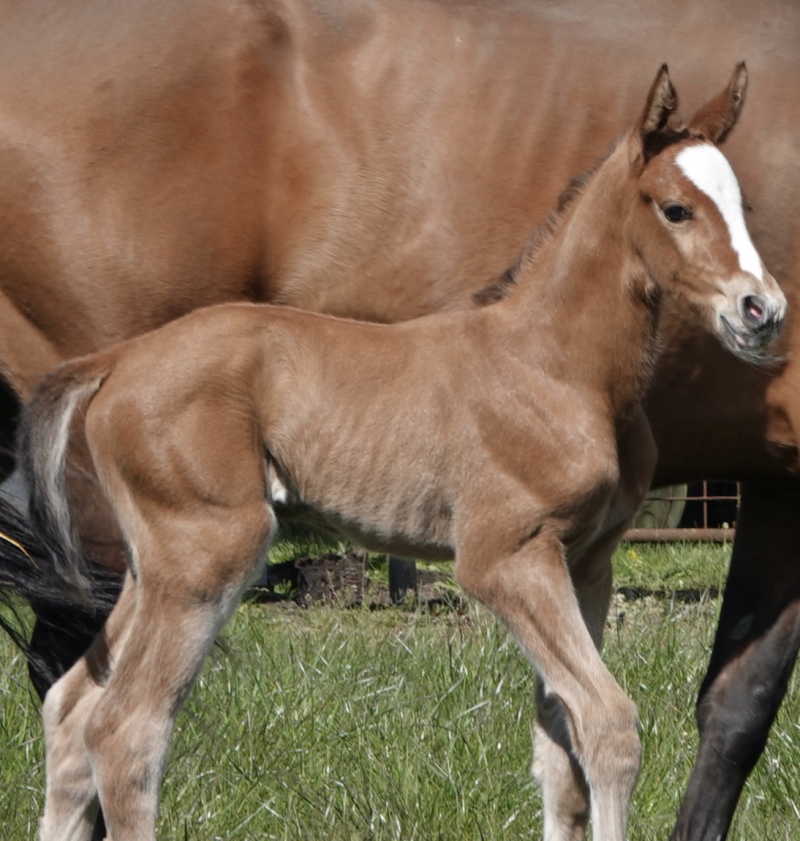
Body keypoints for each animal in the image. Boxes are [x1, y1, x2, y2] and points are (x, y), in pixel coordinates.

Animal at [1, 2, 800, 839]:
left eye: (745, 207)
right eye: (675, 209)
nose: (761, 308)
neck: (556, 365)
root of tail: (118, 359)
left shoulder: (586, 561)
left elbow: (560, 750)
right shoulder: (506, 556)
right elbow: (609, 724)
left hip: (154, 562)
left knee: (71, 705)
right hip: (208, 552)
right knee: (126, 726)